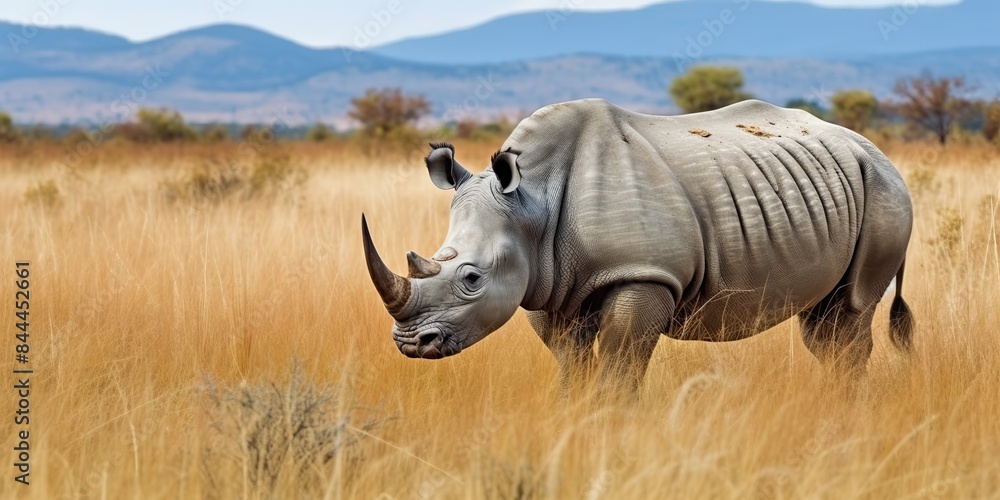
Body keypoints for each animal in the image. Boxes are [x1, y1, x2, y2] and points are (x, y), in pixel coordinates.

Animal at [362, 99, 914, 389]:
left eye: (472, 279)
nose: (411, 344)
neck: (533, 202)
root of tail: (870, 146)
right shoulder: (546, 282)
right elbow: (572, 365)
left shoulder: (643, 272)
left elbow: (620, 367)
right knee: (823, 322)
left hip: (886, 190)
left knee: (851, 310)